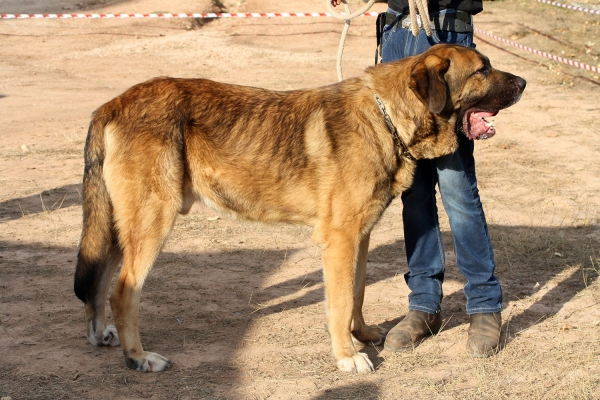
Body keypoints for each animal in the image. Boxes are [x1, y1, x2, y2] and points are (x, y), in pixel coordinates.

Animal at [74, 45, 524, 374]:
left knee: (97, 282)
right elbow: (339, 303)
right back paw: (137, 357)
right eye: (482, 70)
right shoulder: (339, 241)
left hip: (118, 227)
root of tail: (110, 105)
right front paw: (347, 356)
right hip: (151, 224)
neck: (387, 118)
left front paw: (361, 335)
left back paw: (100, 334)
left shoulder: (359, 237)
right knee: (122, 292)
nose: (524, 81)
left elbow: (356, 293)